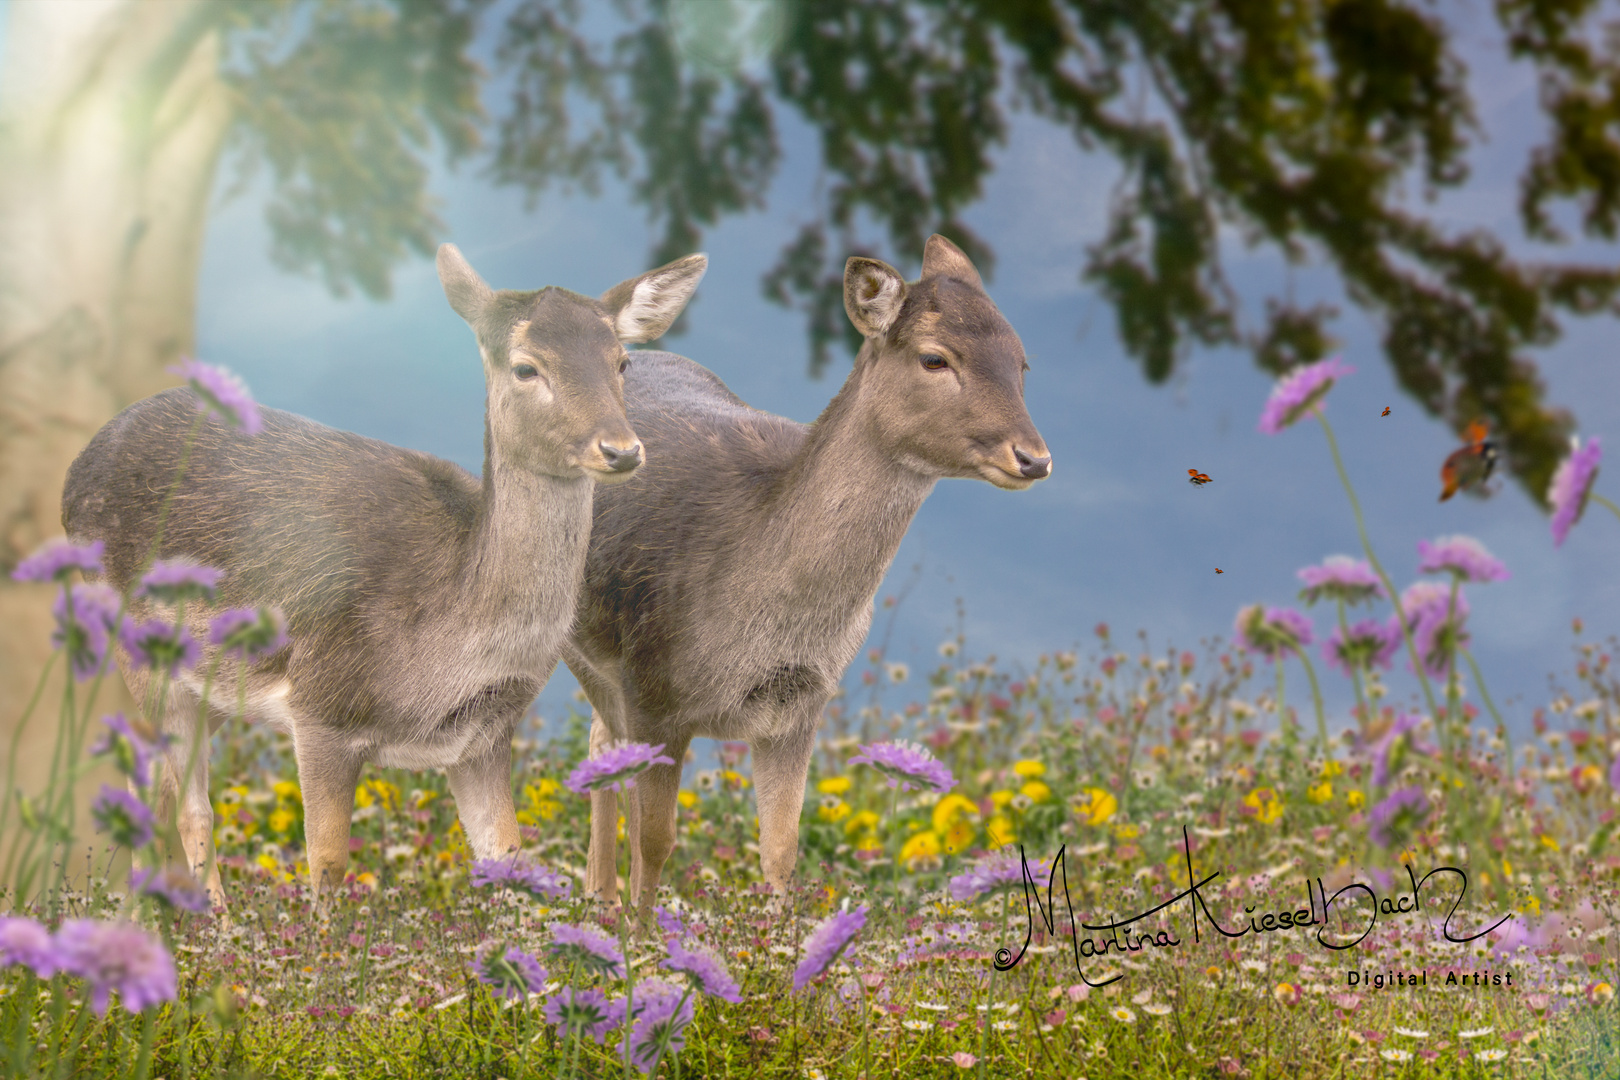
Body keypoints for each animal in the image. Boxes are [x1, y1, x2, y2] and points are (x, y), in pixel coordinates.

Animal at [59, 244, 706, 906]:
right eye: (526, 367)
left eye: (622, 361)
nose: (621, 449)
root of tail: (84, 458)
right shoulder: (320, 710)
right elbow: (326, 866)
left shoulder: (484, 737)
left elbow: (506, 857)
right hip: (140, 657)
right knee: (190, 807)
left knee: (154, 787)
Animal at [570, 234, 1049, 913]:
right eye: (935, 358)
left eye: (1022, 363)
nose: (1034, 458)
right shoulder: (652, 688)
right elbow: (654, 842)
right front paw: (639, 935)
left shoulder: (800, 708)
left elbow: (780, 850)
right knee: (601, 750)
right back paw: (600, 899)